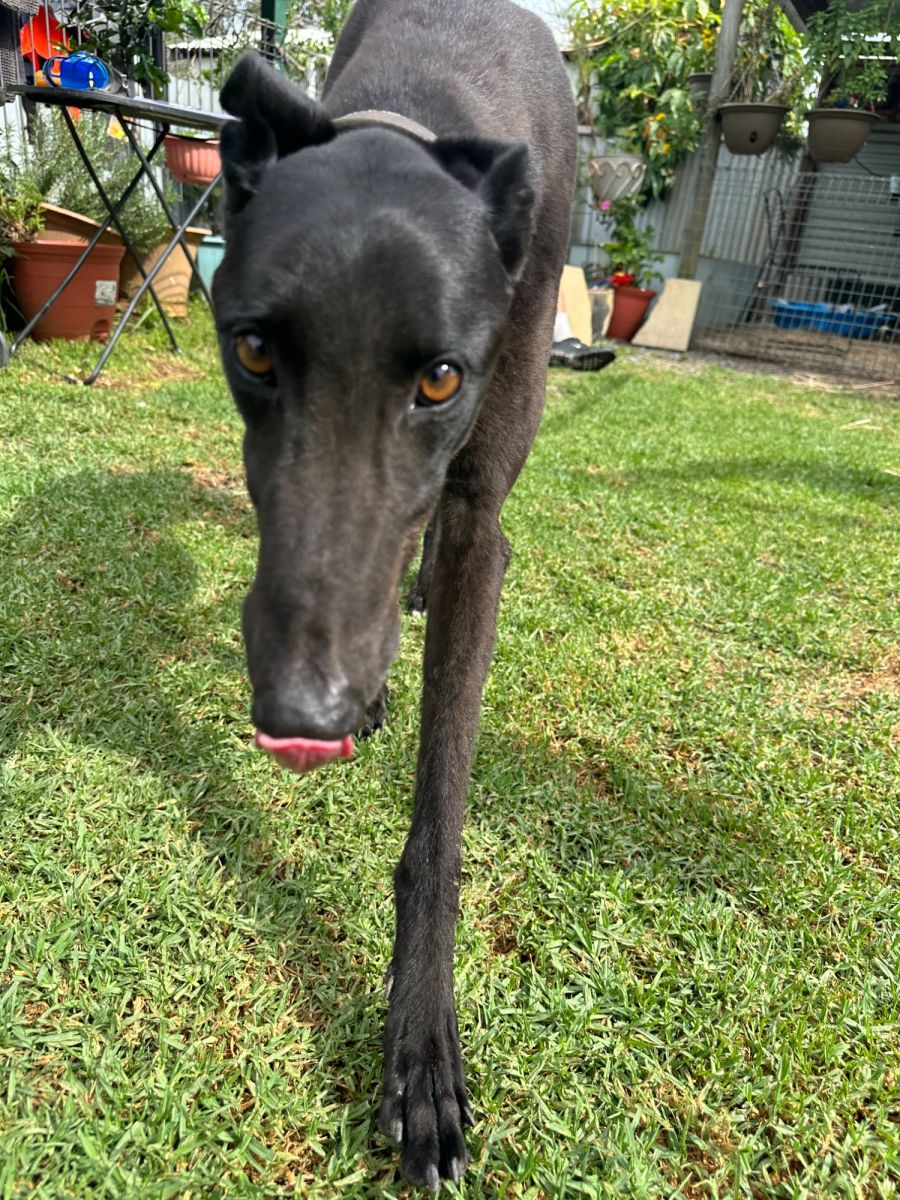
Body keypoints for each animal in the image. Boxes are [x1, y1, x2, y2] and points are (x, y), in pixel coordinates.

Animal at [214, 0, 575, 1187]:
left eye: (440, 377)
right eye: (253, 351)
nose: (303, 713)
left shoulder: (476, 523)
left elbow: (442, 811)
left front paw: (419, 1052)